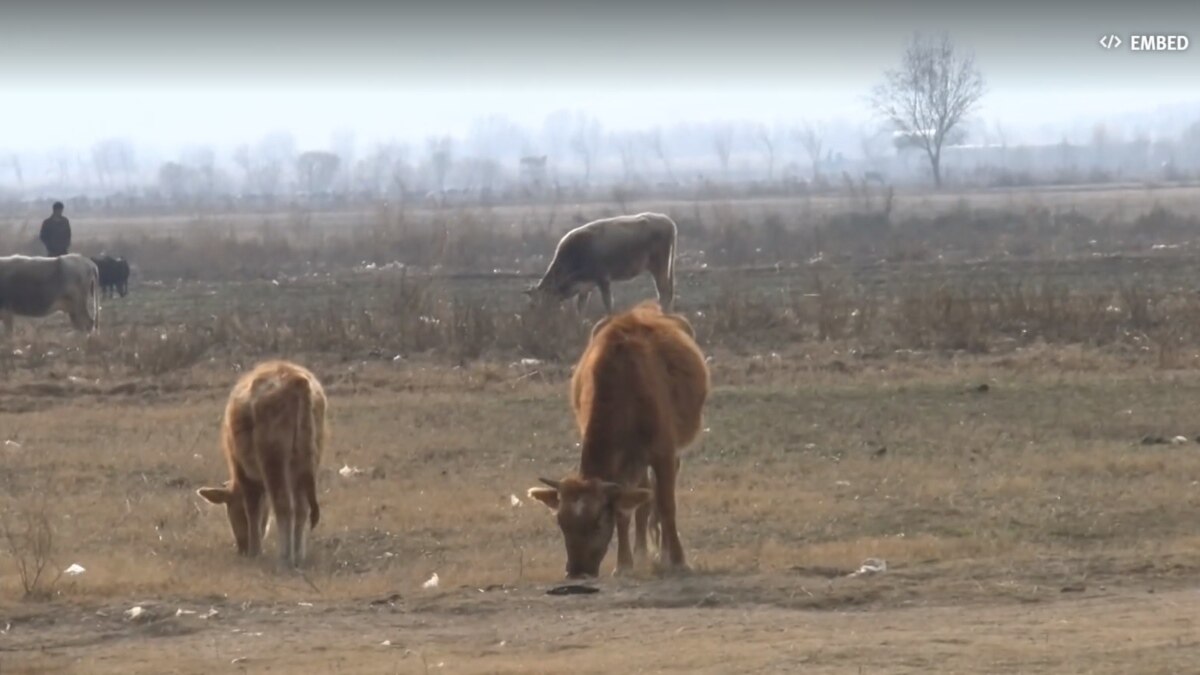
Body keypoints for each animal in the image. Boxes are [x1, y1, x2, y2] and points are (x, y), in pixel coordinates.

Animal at [196, 360, 328, 564]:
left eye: (232, 510)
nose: (242, 549)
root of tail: (296, 380)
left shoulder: (244, 473)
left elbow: (252, 510)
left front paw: (255, 550)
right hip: (308, 460)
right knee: (302, 507)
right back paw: (298, 555)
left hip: (273, 461)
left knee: (283, 505)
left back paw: (285, 557)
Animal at [530, 302, 705, 576]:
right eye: (561, 523)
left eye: (598, 522)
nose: (577, 570)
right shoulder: (622, 466)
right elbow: (625, 512)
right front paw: (624, 563)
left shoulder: (663, 454)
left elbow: (667, 505)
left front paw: (678, 559)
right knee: (644, 502)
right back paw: (642, 553)